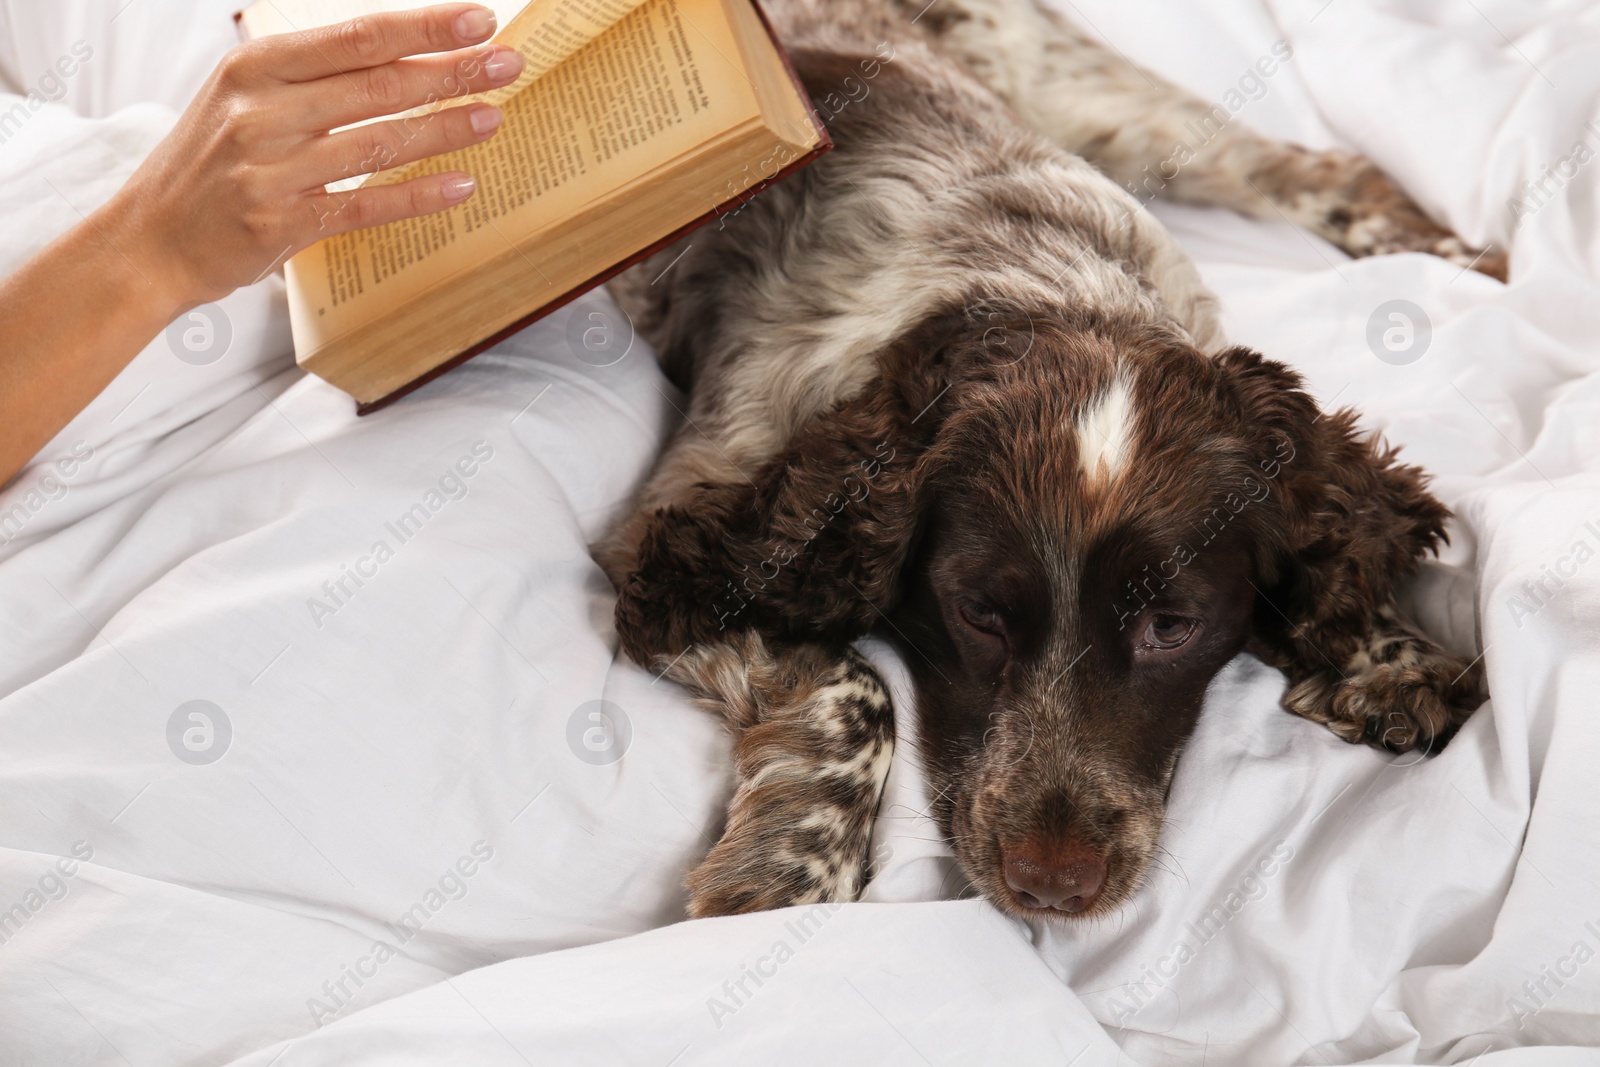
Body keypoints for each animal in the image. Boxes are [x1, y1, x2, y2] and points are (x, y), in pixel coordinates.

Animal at [595, 0, 1491, 921]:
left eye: (1171, 625)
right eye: (978, 613)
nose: (1053, 885)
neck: (1041, 291)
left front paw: (1398, 655)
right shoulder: (673, 538)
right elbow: (858, 689)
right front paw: (793, 865)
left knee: (1304, 164)